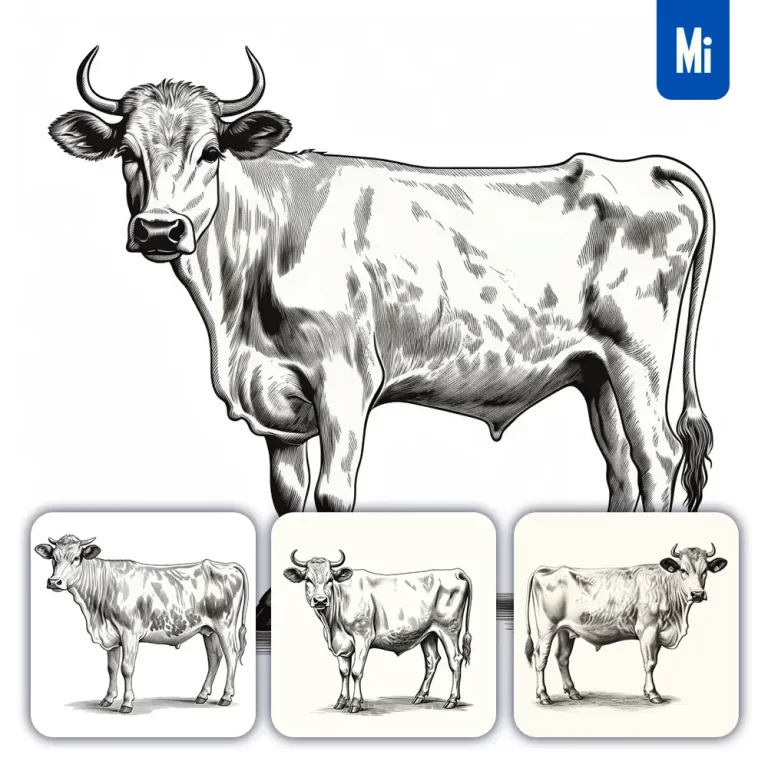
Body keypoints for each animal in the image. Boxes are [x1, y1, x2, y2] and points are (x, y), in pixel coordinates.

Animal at [35, 534, 249, 713]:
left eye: (76, 558)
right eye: (53, 558)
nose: (54, 581)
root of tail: (227, 565)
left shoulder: (130, 632)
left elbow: (126, 668)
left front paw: (127, 703)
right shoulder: (112, 636)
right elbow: (111, 667)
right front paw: (108, 698)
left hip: (225, 626)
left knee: (231, 656)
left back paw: (226, 697)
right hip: (208, 629)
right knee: (214, 658)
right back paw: (202, 695)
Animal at [49, 47, 715, 514]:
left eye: (211, 151)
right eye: (126, 153)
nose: (160, 229)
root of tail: (638, 166)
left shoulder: (346, 380)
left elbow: (331, 496)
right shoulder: (277, 402)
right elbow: (288, 498)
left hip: (637, 357)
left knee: (659, 460)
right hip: (597, 371)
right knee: (623, 471)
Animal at [283, 551, 473, 712]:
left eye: (330, 579)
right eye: (308, 580)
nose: (320, 600)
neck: (332, 626)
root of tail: (455, 572)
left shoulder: (363, 637)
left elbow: (356, 671)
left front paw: (355, 703)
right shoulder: (342, 645)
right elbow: (344, 672)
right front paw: (341, 701)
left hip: (449, 629)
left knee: (455, 659)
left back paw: (452, 700)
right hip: (429, 633)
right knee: (432, 660)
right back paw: (420, 696)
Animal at [523, 543, 728, 704]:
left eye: (705, 571)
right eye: (683, 570)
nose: (697, 594)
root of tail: (547, 568)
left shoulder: (658, 634)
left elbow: (654, 662)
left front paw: (647, 691)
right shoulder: (647, 630)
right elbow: (650, 663)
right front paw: (653, 694)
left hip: (565, 630)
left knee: (562, 657)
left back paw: (573, 692)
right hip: (546, 628)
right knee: (540, 658)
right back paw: (544, 696)